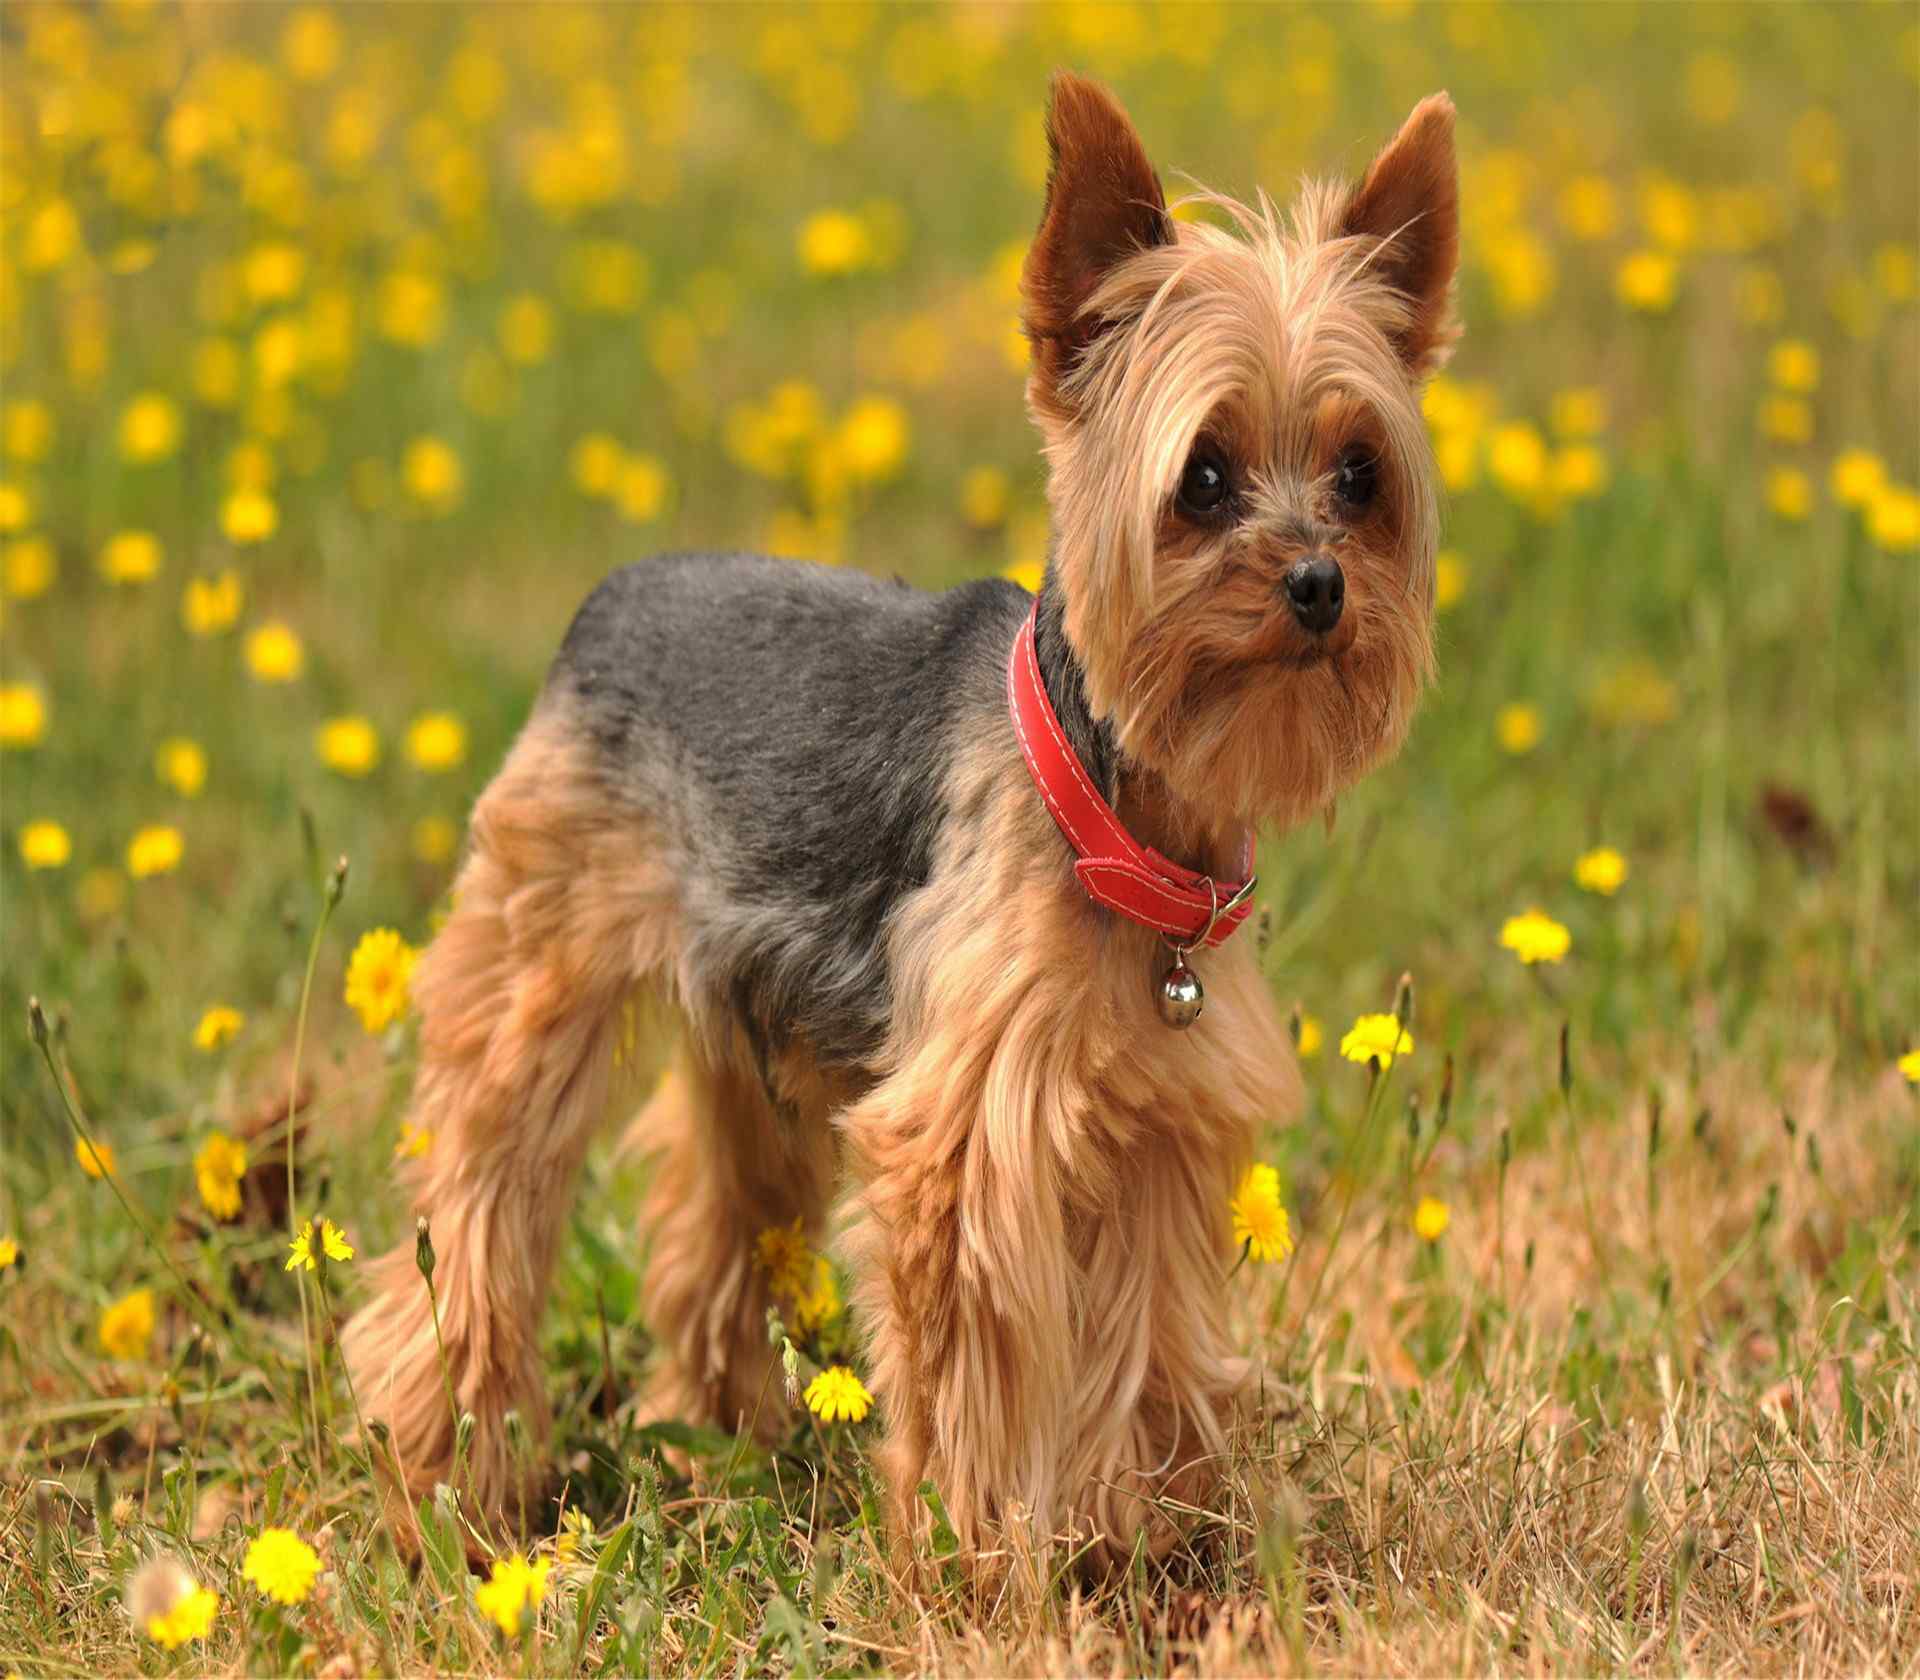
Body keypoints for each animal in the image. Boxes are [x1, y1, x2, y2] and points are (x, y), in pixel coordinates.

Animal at [345, 65, 1451, 1566]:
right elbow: (984, 1373)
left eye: (1360, 475)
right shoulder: (969, 1139)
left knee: (713, 1219)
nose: (1321, 583)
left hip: (757, 1039)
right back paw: (449, 1482)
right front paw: (988, 1567)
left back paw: (721, 1435)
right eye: (1205, 478)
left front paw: (1156, 1540)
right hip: (534, 960)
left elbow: (1148, 1340)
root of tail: (612, 593)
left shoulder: (1163, 1133)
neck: (1118, 810)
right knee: (477, 1206)